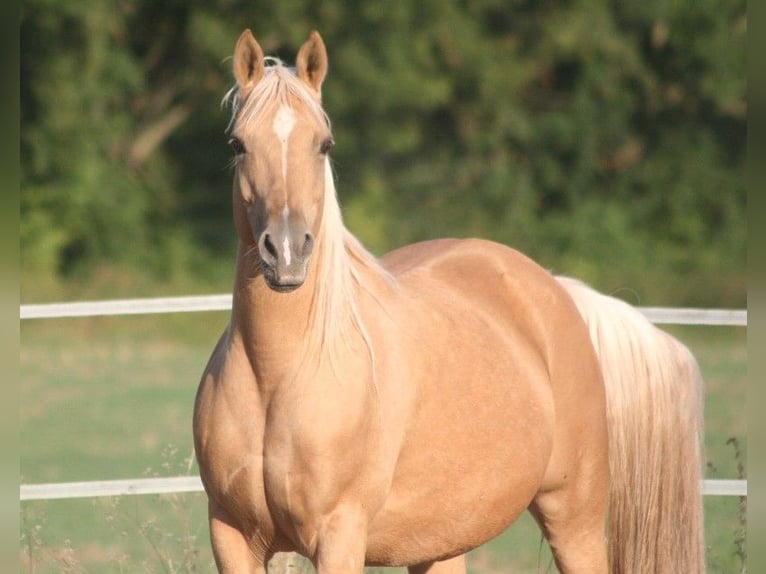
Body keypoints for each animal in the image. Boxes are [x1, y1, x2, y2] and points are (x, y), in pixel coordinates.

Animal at [194, 31, 708, 574]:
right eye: (238, 144)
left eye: (324, 144)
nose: (287, 252)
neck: (280, 373)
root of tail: (557, 289)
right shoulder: (232, 536)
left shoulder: (338, 535)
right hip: (442, 541)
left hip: (576, 521)